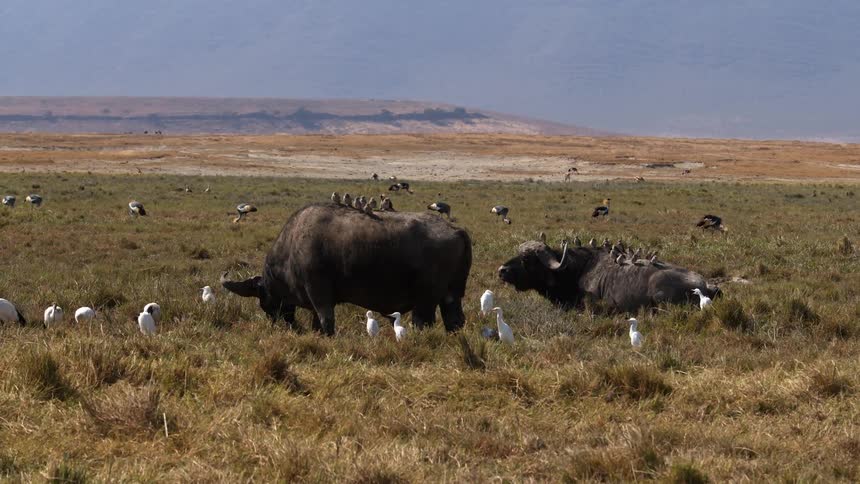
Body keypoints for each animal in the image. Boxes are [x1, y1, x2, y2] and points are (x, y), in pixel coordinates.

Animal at [221, 203, 472, 335]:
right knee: (454, 320)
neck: (291, 249)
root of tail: (456, 230)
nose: (278, 323)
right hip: (451, 296)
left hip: (426, 299)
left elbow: (326, 319)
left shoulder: (319, 294)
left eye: (264, 300)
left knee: (422, 321)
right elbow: (316, 320)